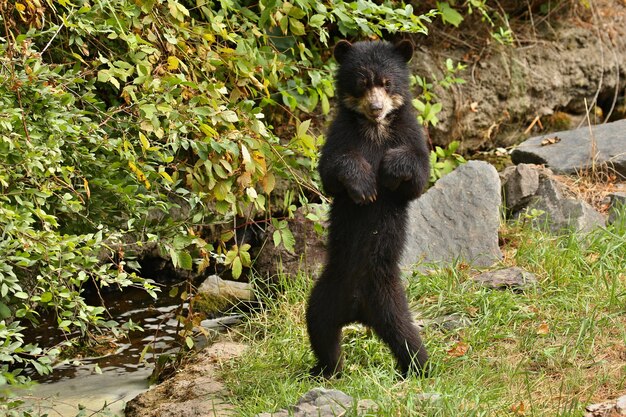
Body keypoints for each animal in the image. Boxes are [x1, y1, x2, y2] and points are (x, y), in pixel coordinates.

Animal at [304, 39, 432, 376]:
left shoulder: (411, 132)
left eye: (387, 83)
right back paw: (328, 369)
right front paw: (364, 188)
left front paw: (388, 172)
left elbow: (418, 175)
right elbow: (331, 171)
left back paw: (418, 369)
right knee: (319, 329)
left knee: (407, 337)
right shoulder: (339, 133)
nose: (376, 108)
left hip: (392, 301)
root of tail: (358, 311)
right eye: (362, 83)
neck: (375, 130)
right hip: (323, 296)